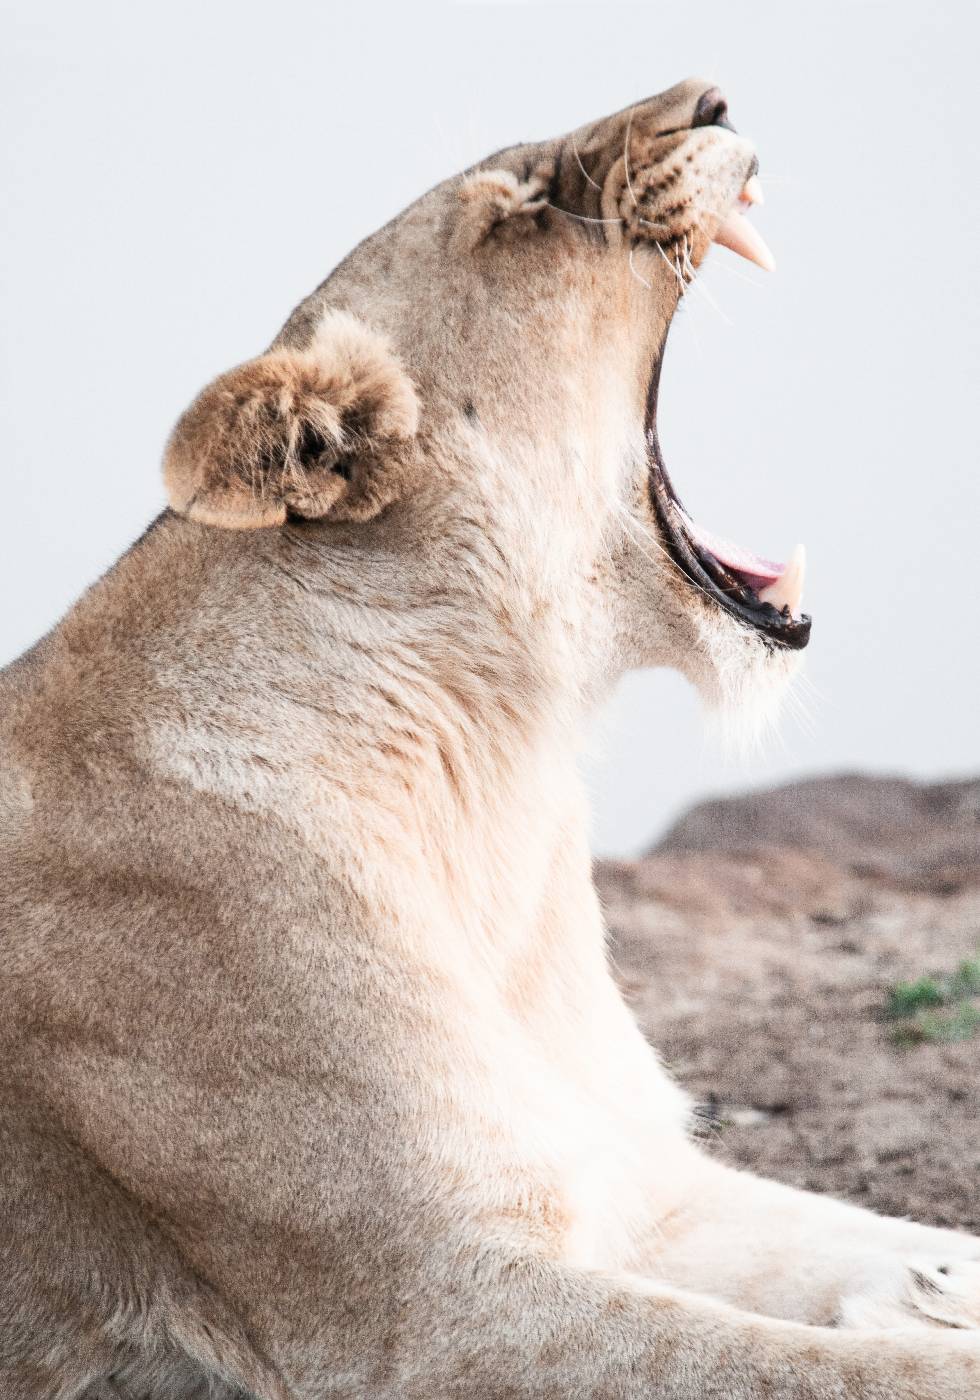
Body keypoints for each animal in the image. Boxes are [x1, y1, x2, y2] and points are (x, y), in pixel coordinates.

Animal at [1, 78, 978, 1400]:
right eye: (521, 210)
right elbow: (838, 1370)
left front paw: (925, 1286)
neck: (499, 759)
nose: (711, 98)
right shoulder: (432, 1311)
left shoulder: (640, 1177)